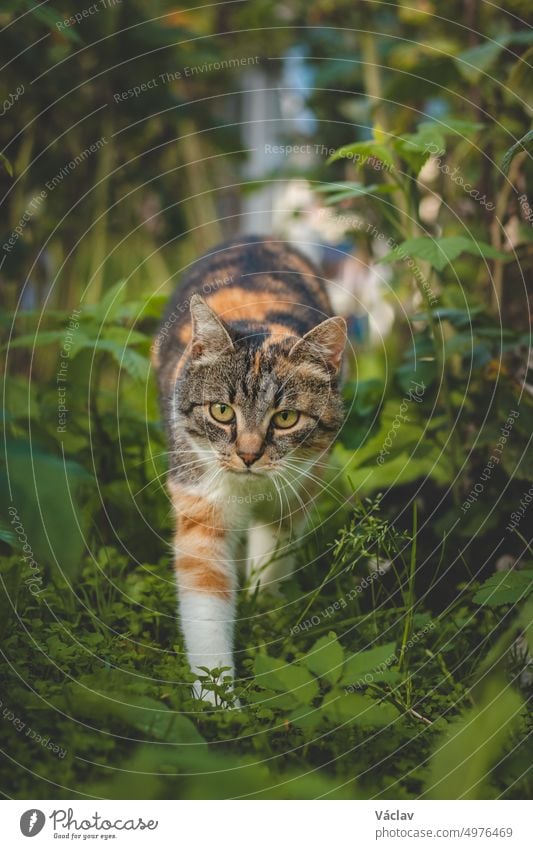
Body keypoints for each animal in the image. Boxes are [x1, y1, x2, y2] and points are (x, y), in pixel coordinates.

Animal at [152, 234, 348, 704]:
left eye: (286, 418)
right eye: (222, 411)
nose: (248, 455)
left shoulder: (298, 488)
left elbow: (272, 553)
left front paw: (265, 608)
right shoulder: (199, 497)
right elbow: (205, 594)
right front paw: (219, 701)